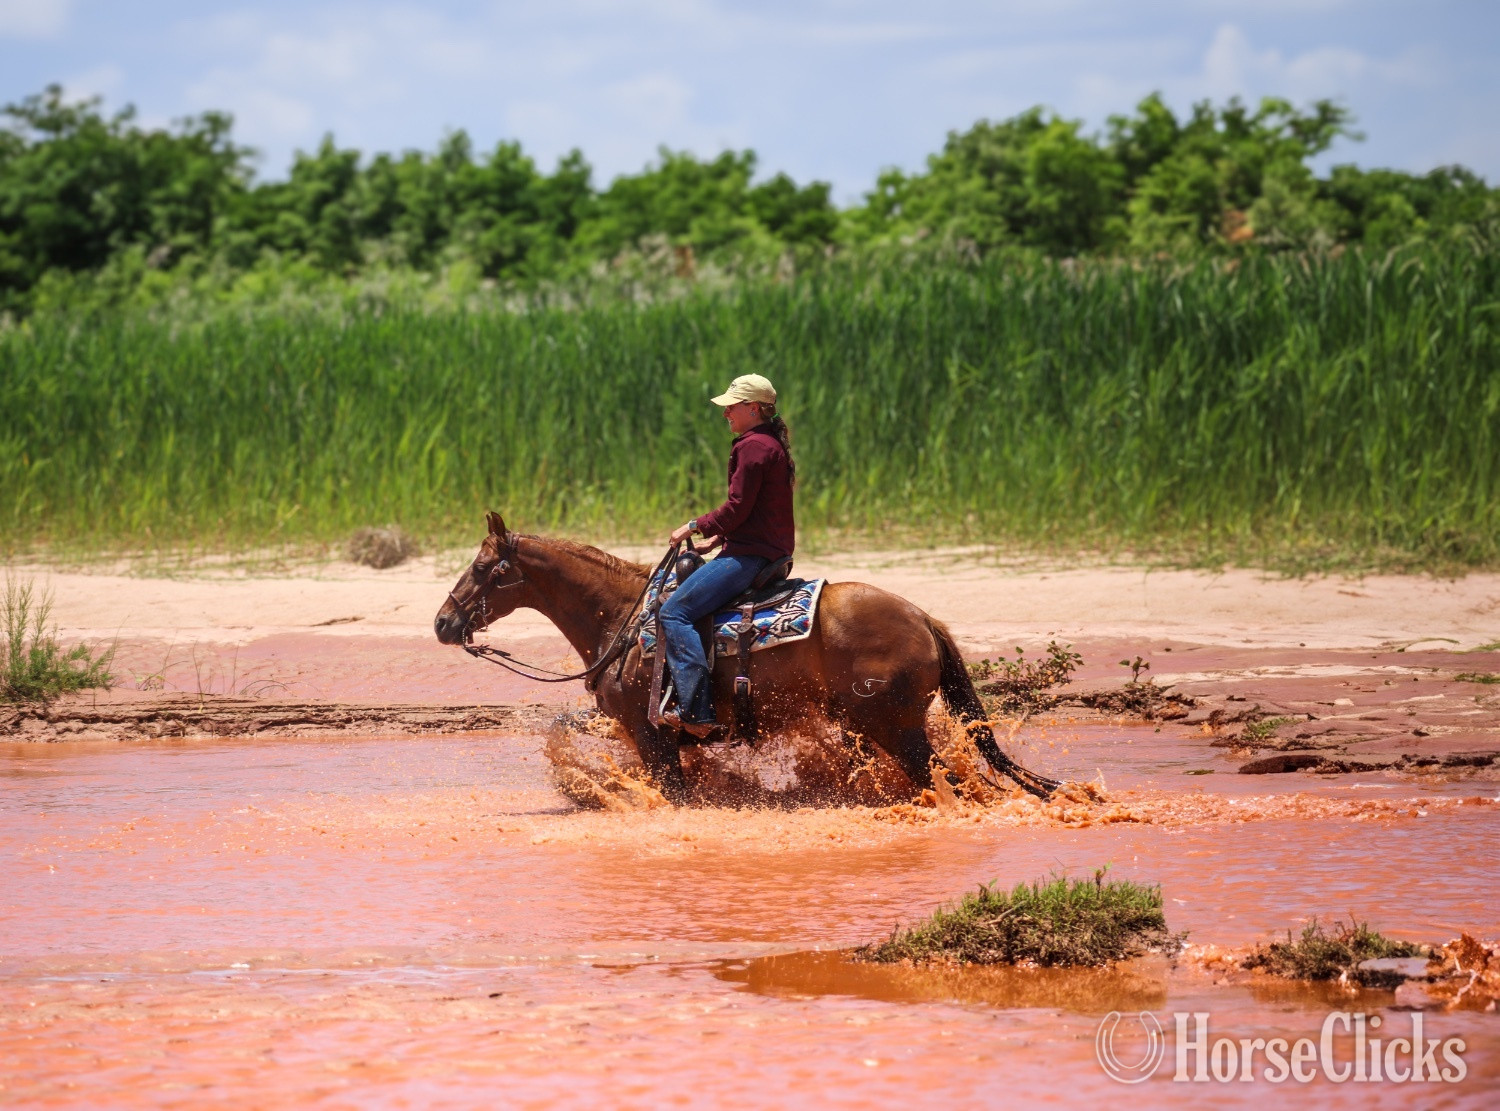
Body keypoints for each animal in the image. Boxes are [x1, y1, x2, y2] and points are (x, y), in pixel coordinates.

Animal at [434, 512, 1059, 804]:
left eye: (485, 568)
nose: (442, 622)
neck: (623, 617)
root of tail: (924, 617)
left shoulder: (651, 732)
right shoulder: (630, 727)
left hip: (896, 727)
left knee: (944, 778)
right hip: (867, 727)